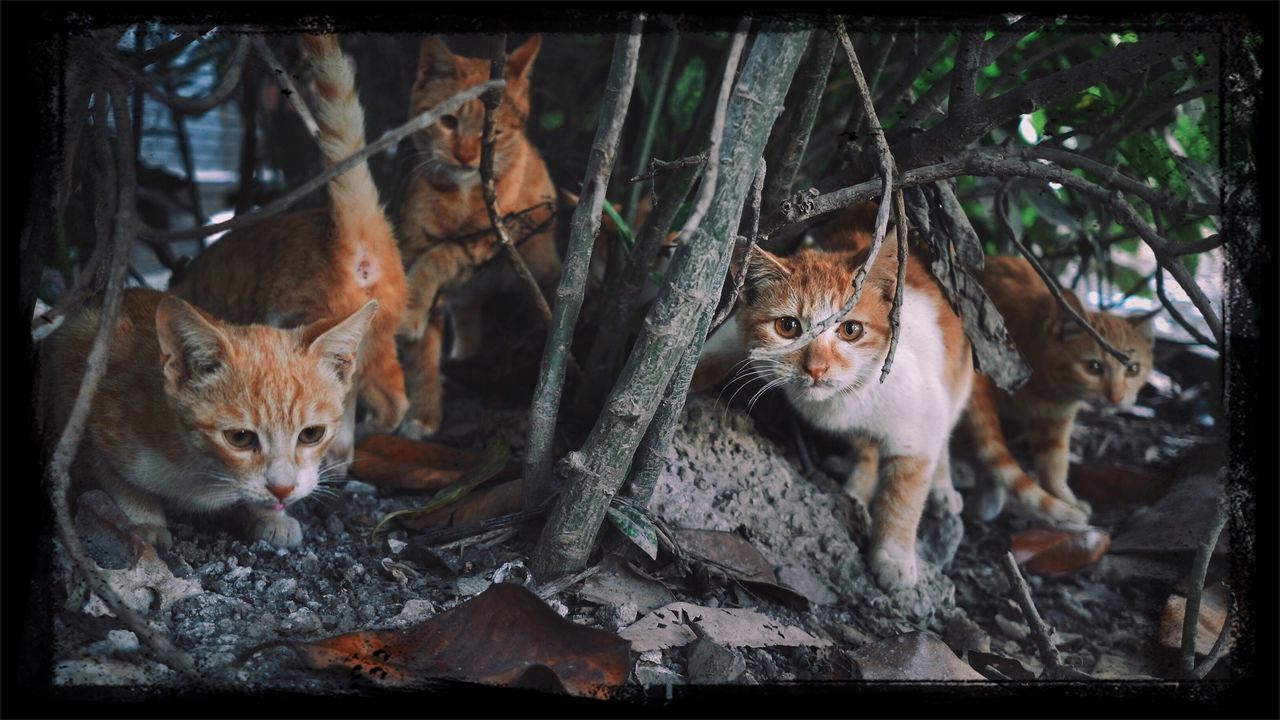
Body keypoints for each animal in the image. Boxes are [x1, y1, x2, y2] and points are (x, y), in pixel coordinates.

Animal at [38, 288, 378, 545]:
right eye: (239, 438)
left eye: (311, 434)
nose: (282, 489)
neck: (204, 472)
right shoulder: (92, 414)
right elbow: (121, 481)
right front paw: (144, 523)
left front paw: (271, 516)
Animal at [396, 36, 563, 438]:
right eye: (447, 121)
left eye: (493, 133)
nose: (466, 156)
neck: (456, 194)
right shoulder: (414, 250)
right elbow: (421, 357)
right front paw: (424, 415)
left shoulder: (498, 234)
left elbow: (439, 256)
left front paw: (409, 307)